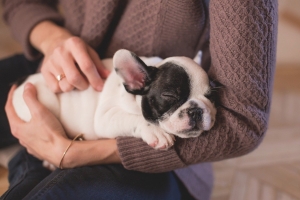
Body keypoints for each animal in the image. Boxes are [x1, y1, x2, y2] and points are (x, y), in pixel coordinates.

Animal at [11, 49, 216, 151]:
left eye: (210, 96)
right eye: (170, 96)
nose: (196, 110)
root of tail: (22, 81)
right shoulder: (105, 117)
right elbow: (135, 118)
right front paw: (156, 132)